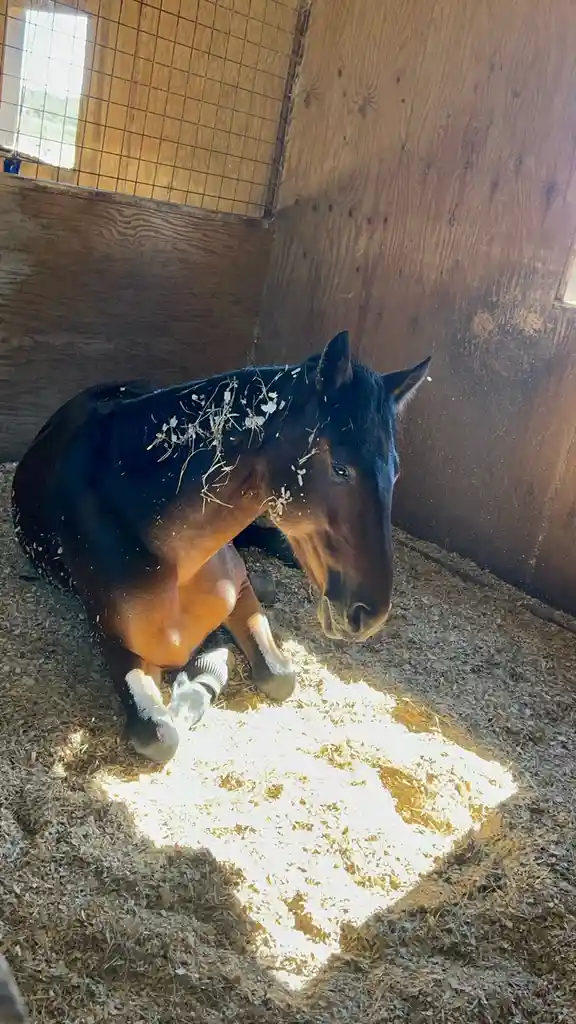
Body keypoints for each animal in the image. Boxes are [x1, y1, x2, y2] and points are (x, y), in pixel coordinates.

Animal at [12, 330, 430, 763]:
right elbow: (160, 734)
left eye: (395, 472)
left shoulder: (237, 593)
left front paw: (203, 674)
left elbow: (278, 674)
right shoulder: (115, 642)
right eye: (340, 467)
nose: (370, 614)